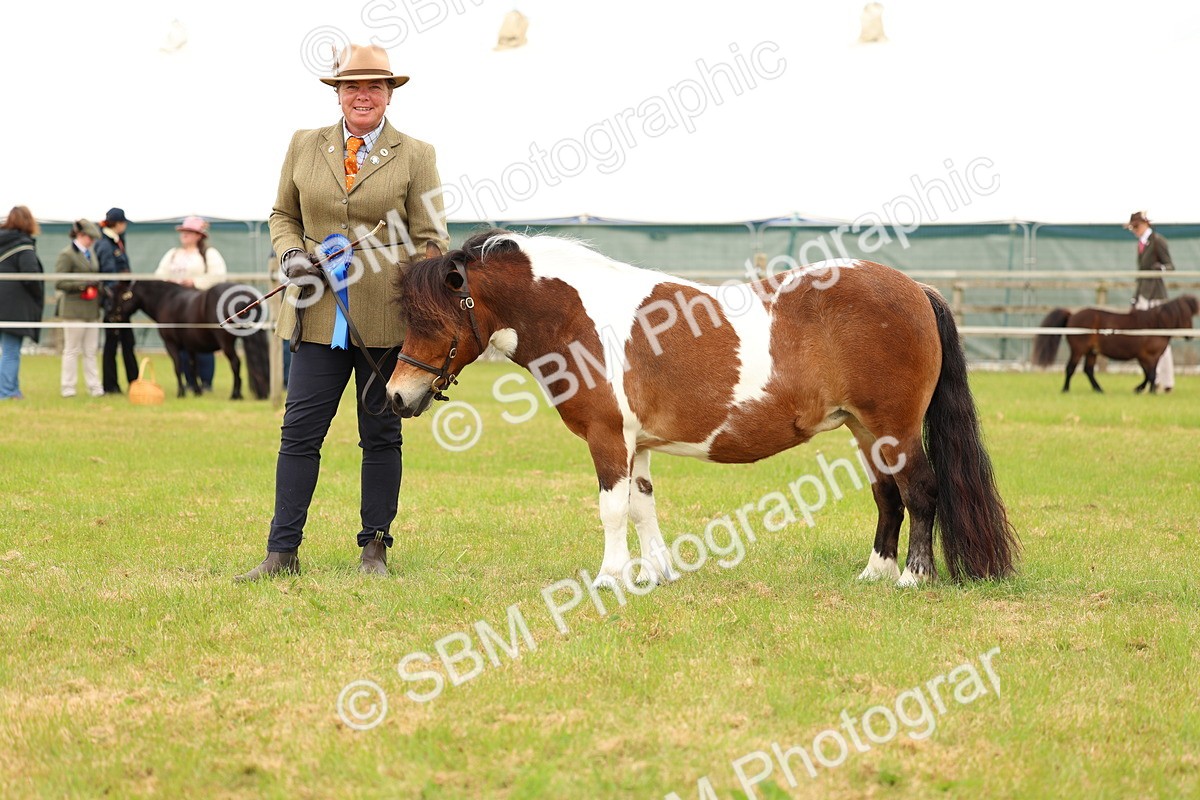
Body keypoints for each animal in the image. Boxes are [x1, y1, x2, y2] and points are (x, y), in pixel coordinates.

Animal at [108, 280, 270, 400]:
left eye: (123, 296)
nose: (112, 317)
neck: (167, 300)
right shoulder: (191, 347)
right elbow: (193, 368)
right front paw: (197, 392)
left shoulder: (171, 345)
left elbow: (177, 367)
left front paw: (181, 392)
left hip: (226, 343)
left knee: (235, 363)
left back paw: (235, 394)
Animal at [387, 230, 1018, 588]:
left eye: (432, 319)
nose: (396, 395)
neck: (580, 316)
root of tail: (917, 289)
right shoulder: (637, 444)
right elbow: (643, 507)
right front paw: (654, 574)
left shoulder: (608, 437)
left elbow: (613, 509)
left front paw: (609, 577)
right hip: (865, 431)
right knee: (889, 496)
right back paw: (875, 572)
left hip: (894, 428)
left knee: (921, 491)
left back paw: (913, 578)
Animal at [1032, 295, 1197, 393]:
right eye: (1186, 316)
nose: (1189, 336)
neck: (1155, 325)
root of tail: (1072, 315)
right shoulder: (1150, 356)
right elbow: (1151, 374)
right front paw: (1150, 391)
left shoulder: (1143, 357)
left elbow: (1147, 374)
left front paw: (1139, 389)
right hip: (1078, 350)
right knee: (1070, 368)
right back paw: (1066, 389)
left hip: (1091, 352)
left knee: (1088, 370)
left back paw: (1099, 389)